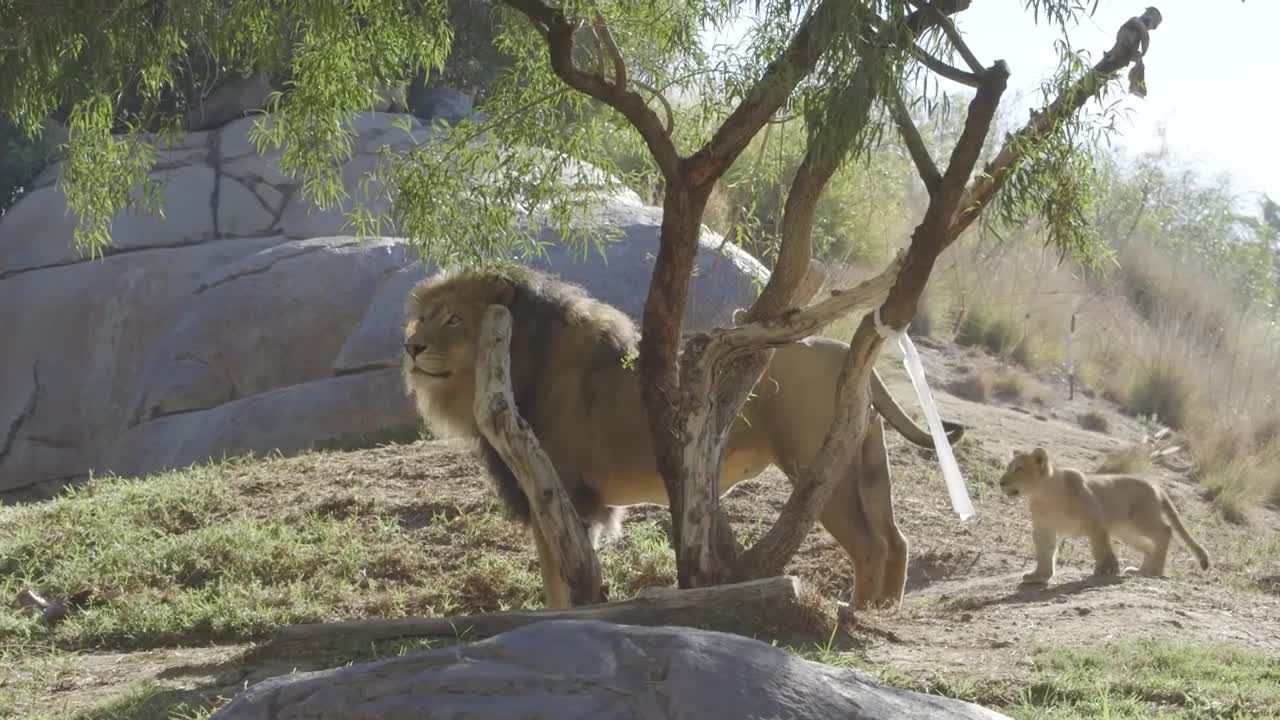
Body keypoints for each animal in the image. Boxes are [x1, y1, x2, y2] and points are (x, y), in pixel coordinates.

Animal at [404, 266, 962, 602]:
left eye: (453, 320)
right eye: (423, 317)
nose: (410, 346)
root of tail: (847, 351)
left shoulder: (556, 492)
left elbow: (559, 578)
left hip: (822, 468)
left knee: (870, 545)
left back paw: (856, 611)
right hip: (867, 462)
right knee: (896, 539)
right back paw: (885, 610)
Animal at [998, 443, 1208, 584]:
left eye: (1018, 469)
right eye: (1008, 467)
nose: (1001, 482)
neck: (1044, 495)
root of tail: (1156, 487)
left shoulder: (1096, 522)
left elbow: (1101, 548)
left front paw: (1107, 569)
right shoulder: (1043, 528)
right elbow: (1044, 552)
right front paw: (1039, 575)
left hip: (1141, 520)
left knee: (1165, 531)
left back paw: (1155, 570)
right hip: (1126, 532)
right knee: (1149, 545)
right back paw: (1140, 570)